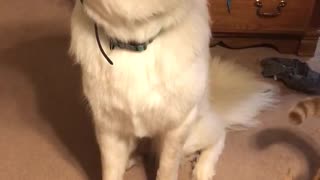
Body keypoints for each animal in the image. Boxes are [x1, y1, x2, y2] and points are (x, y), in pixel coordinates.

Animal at [69, 0, 276, 180]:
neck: (136, 43)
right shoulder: (108, 126)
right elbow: (111, 170)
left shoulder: (178, 126)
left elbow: (167, 168)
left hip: (192, 135)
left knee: (219, 133)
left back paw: (203, 170)